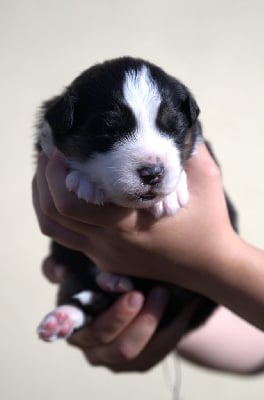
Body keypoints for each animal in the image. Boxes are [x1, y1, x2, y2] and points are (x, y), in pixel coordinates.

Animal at [35, 57, 237, 342]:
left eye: (173, 127)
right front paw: (85, 181)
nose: (152, 173)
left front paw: (171, 196)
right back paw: (65, 315)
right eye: (108, 129)